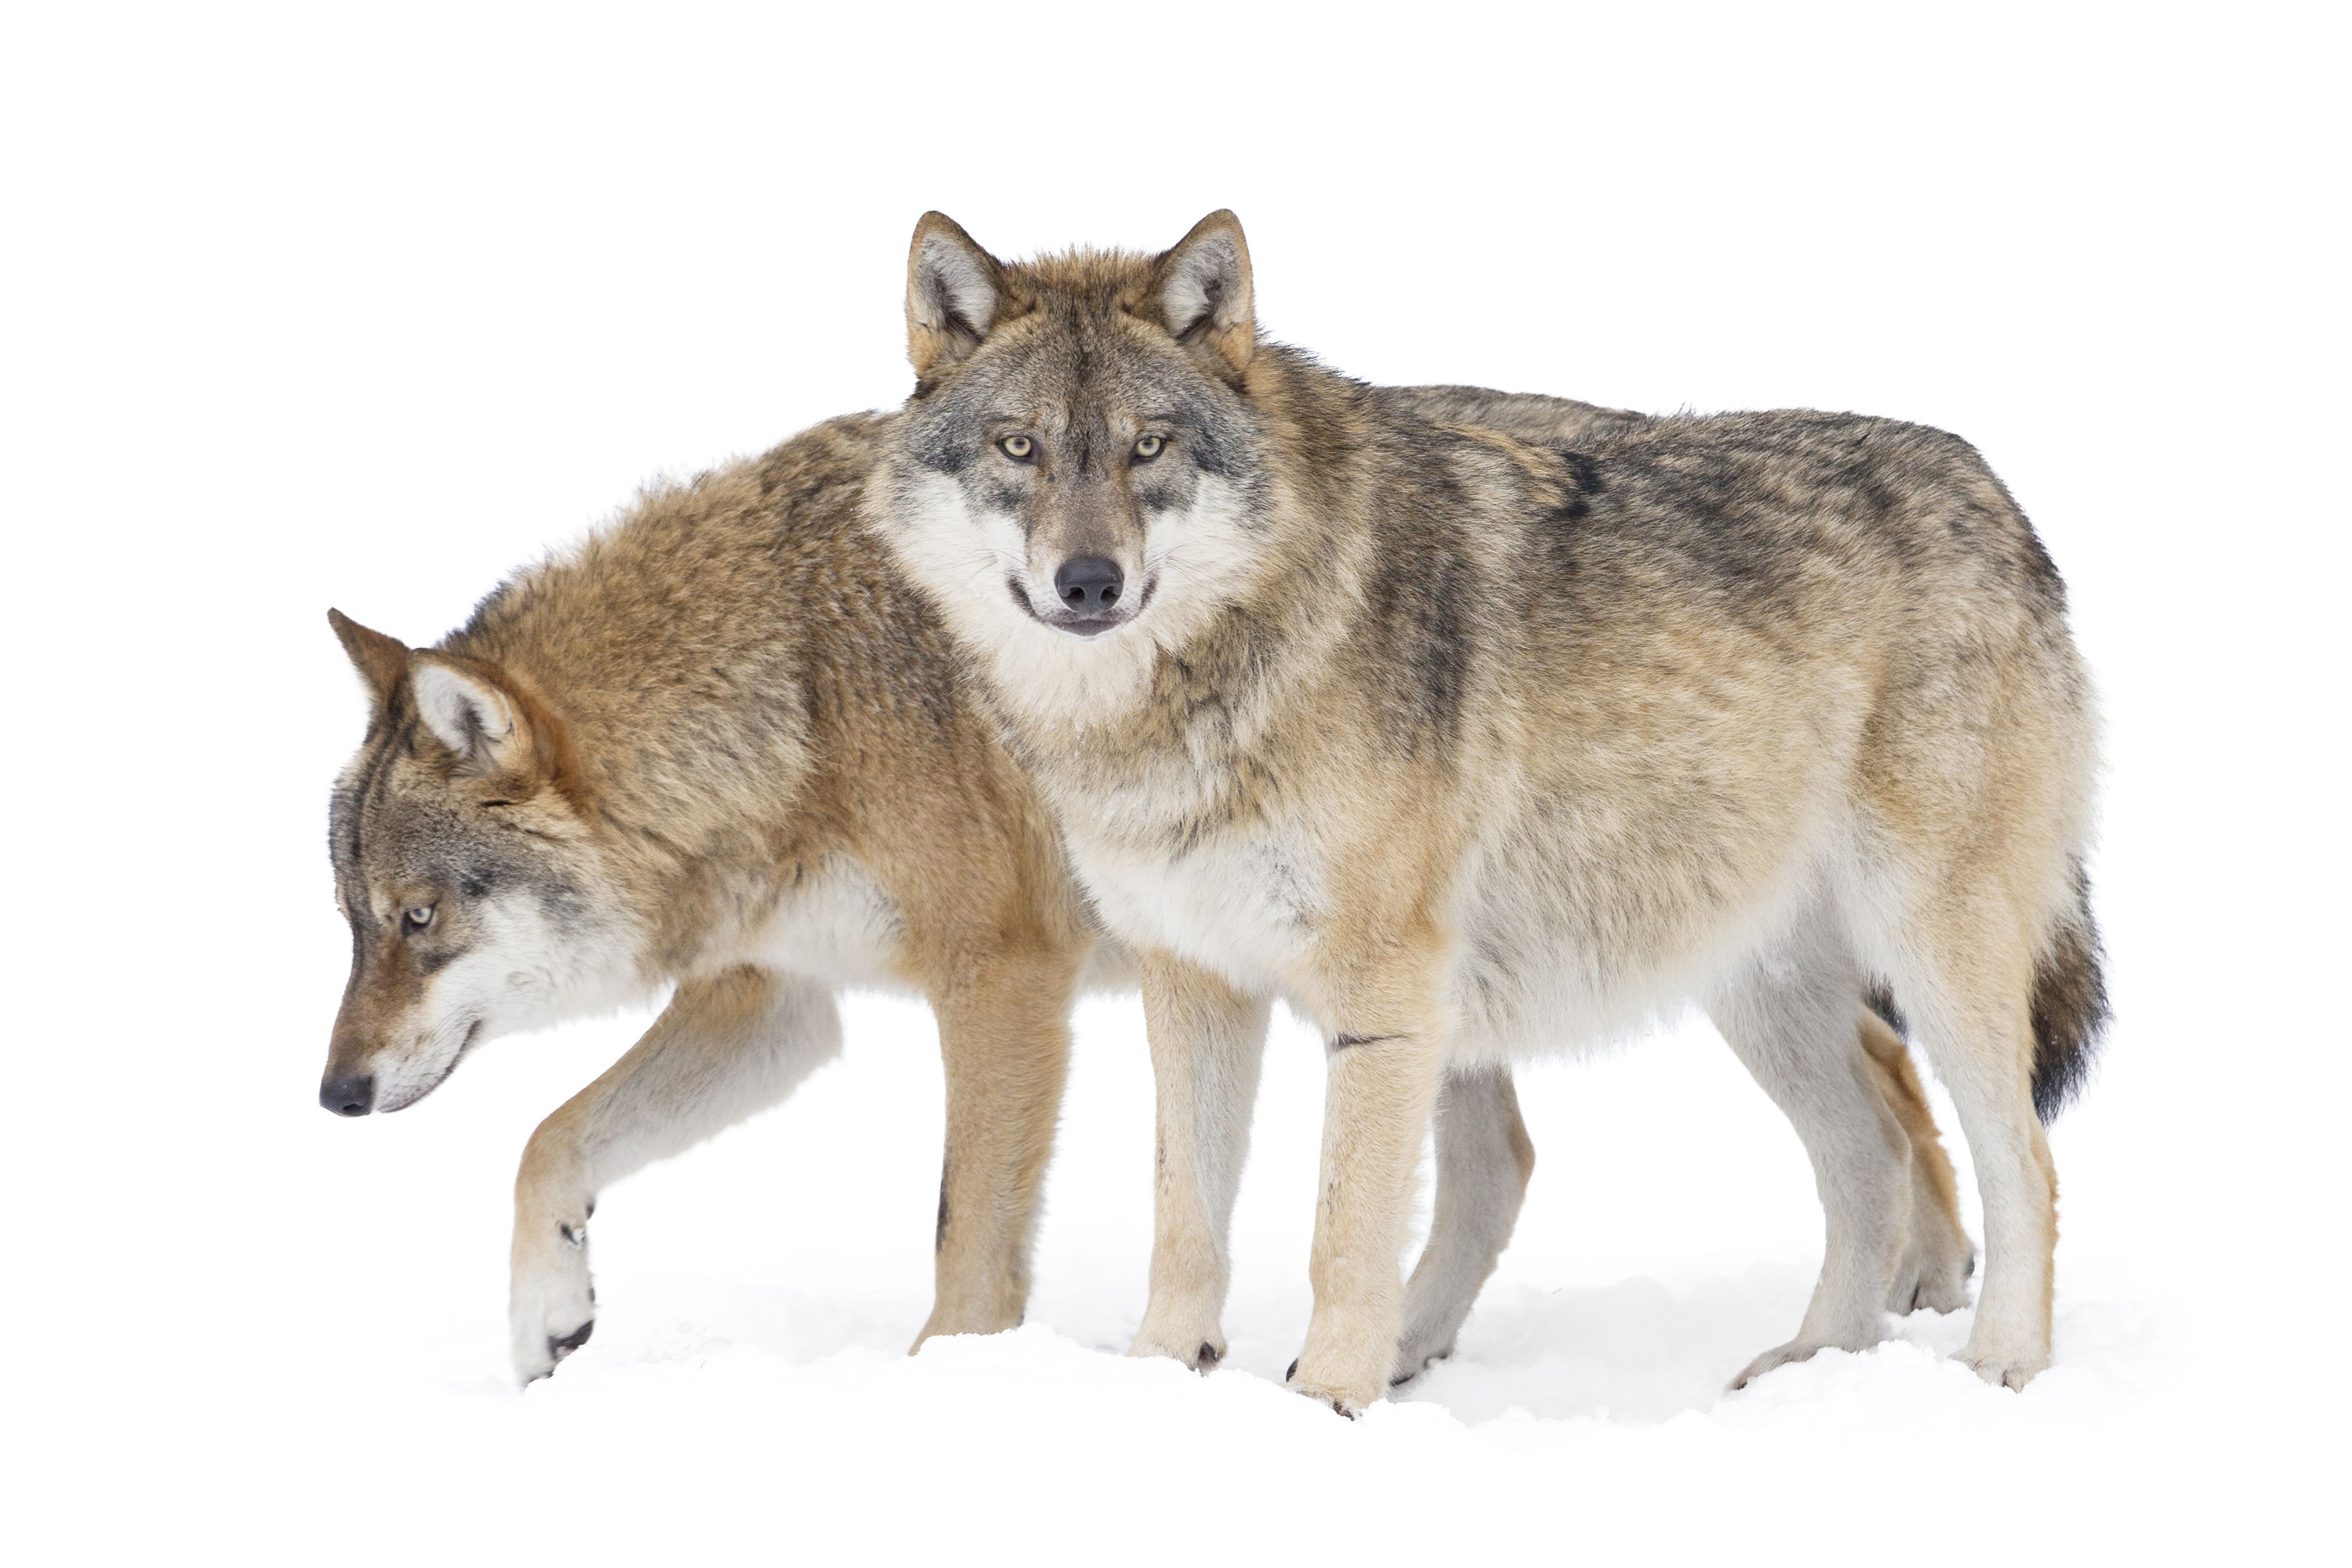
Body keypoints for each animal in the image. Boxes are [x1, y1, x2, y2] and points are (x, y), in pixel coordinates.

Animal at [874, 210, 2105, 1410]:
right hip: (1754, 987)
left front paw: (1328, 1399)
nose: (1088, 582)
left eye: (1148, 446)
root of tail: (1996, 495)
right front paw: (1161, 1376)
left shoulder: (1381, 986)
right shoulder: (1193, 977)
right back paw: (1808, 1367)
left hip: (1930, 953)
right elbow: (1185, 1217)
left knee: (2023, 1160)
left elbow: (1342, 1234)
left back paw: (1999, 1365)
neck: (1195, 695)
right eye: (1019, 446)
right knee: (1868, 1157)